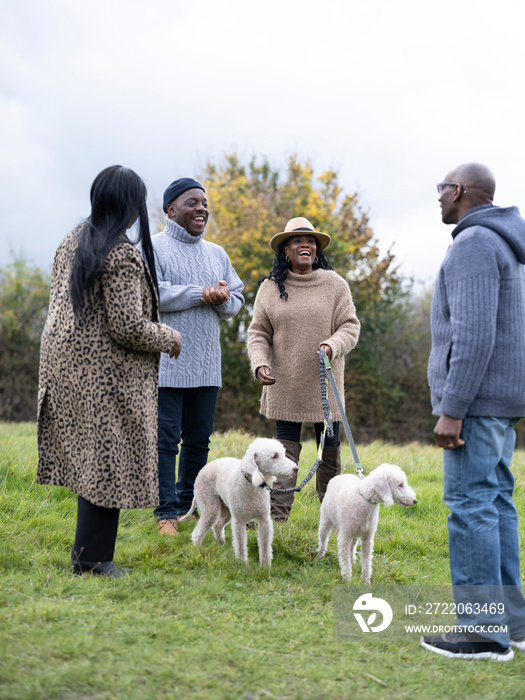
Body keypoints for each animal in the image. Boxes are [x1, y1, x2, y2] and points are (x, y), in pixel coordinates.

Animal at [178, 438, 296, 568]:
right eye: (274, 456)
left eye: (283, 454)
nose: (296, 469)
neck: (251, 484)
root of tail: (203, 469)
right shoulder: (239, 521)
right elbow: (240, 545)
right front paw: (242, 564)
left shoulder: (264, 519)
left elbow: (265, 546)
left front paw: (265, 567)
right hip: (210, 506)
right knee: (198, 532)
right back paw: (197, 550)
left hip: (226, 510)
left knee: (217, 526)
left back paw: (222, 543)